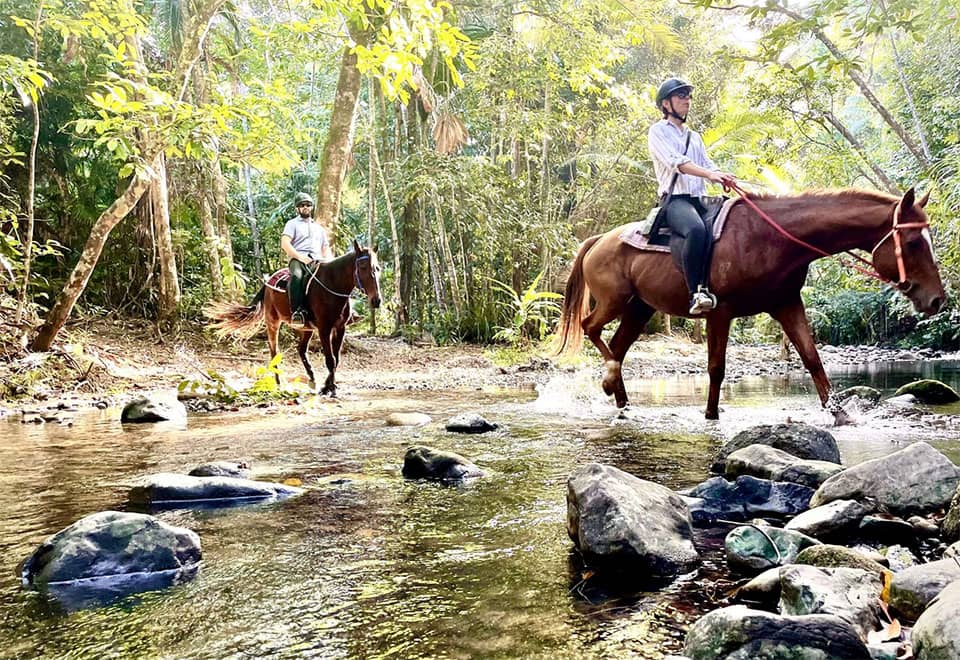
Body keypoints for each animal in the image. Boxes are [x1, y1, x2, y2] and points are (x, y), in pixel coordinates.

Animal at [207, 240, 382, 395]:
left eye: (378, 268)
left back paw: (312, 379)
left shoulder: (340, 328)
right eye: (363, 267)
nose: (376, 300)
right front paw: (330, 389)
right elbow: (330, 360)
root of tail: (267, 283)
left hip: (307, 328)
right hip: (273, 322)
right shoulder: (324, 329)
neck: (332, 286)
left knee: (301, 350)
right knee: (274, 352)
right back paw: (279, 383)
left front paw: (327, 387)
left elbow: (336, 359)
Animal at [556, 187, 945, 421]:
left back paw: (620, 399)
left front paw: (838, 413)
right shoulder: (720, 310)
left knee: (619, 346)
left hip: (640, 308)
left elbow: (812, 359)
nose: (937, 299)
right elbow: (717, 368)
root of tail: (597, 240)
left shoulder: (787, 303)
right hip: (614, 300)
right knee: (591, 328)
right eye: (913, 242)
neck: (773, 239)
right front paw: (711, 416)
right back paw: (609, 380)